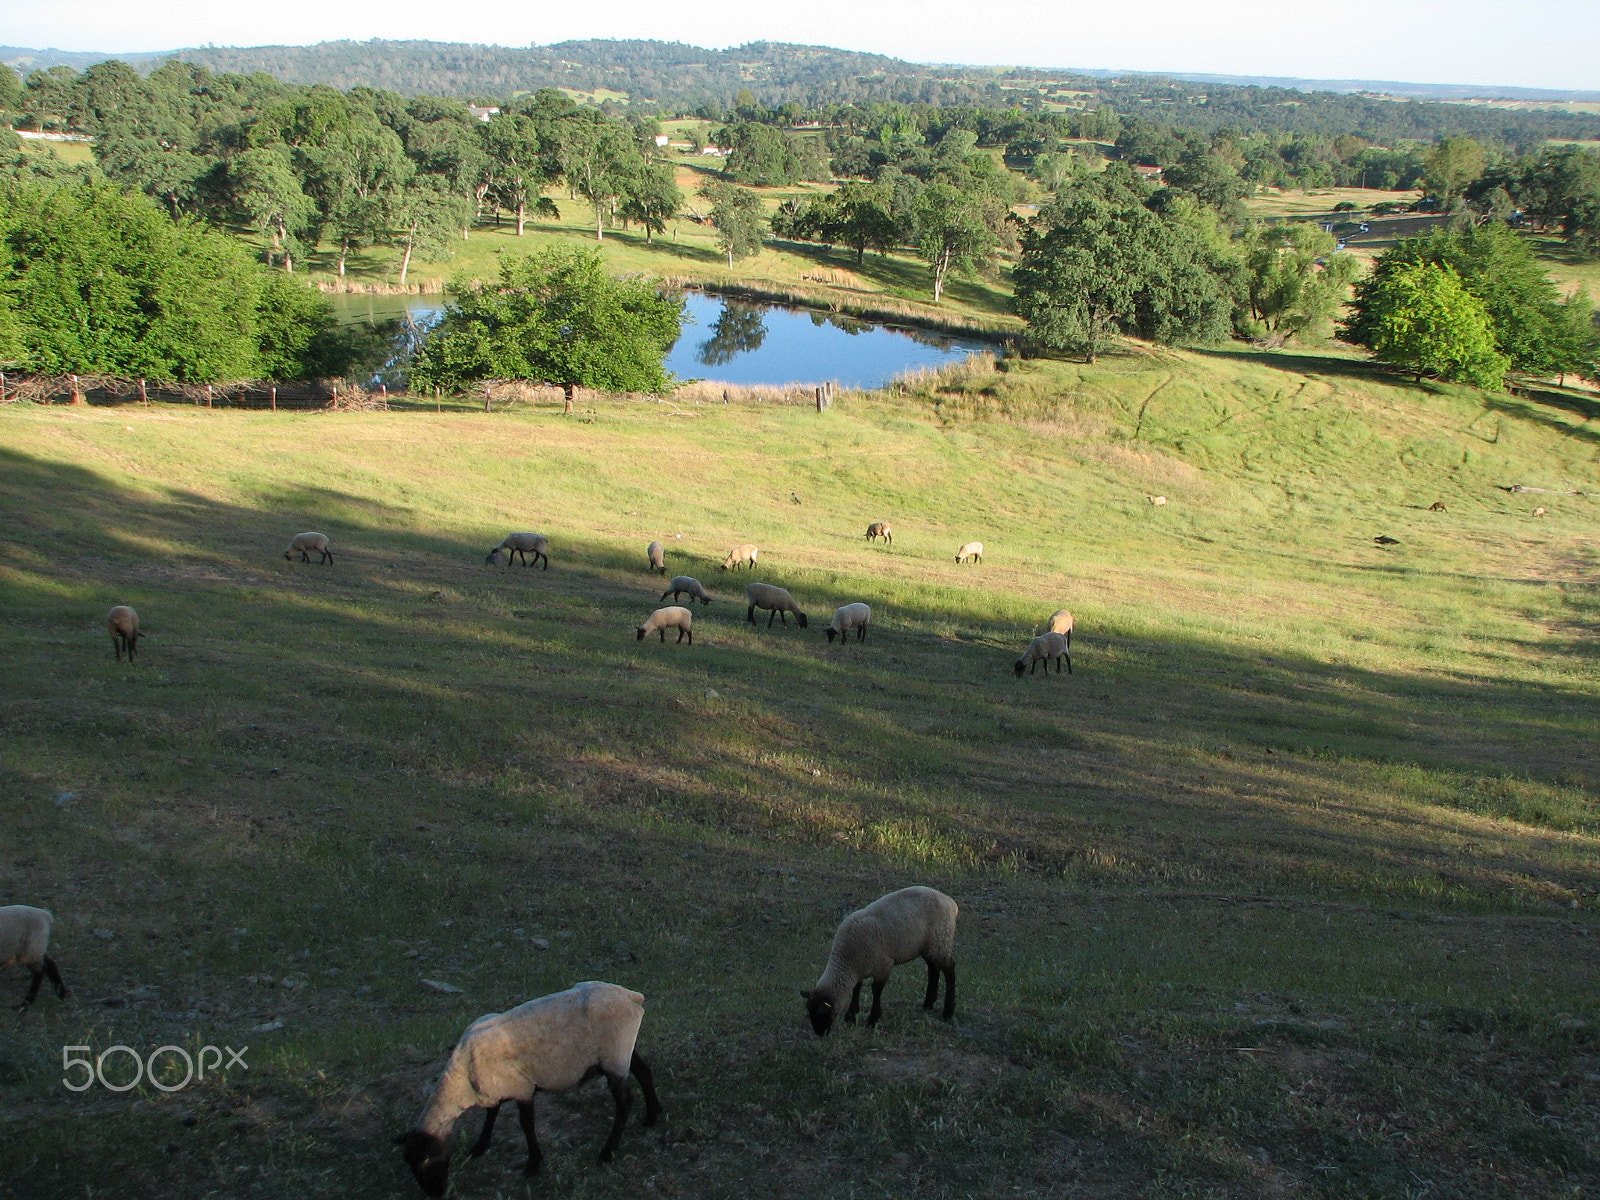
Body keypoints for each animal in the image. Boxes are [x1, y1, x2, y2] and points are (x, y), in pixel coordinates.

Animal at [398, 979, 662, 1196]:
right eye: (410, 1163)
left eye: (425, 1161)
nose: (435, 1193)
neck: (464, 1079)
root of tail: (632, 996)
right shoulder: (495, 1088)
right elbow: (491, 1115)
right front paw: (480, 1147)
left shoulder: (522, 1088)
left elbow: (526, 1125)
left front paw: (533, 1164)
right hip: (622, 1051)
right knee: (644, 1070)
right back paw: (652, 1116)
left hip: (614, 1056)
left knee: (625, 1102)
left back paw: (608, 1152)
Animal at [806, 889, 953, 1036]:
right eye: (809, 1011)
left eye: (821, 1012)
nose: (819, 1033)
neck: (847, 960)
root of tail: (950, 902)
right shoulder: (860, 969)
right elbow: (856, 988)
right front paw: (851, 1016)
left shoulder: (884, 966)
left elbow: (876, 991)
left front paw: (872, 1020)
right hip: (929, 947)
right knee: (933, 969)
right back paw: (928, 1004)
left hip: (941, 940)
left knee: (949, 969)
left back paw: (948, 1012)